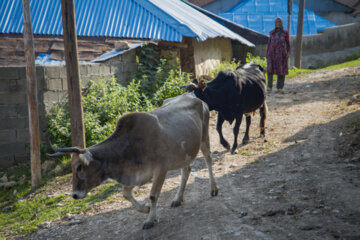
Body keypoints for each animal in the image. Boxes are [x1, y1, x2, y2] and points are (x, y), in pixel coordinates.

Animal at [48, 93, 218, 229]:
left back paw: (213, 189)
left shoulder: (160, 170)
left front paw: (150, 219)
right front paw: (146, 210)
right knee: (186, 170)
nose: (74, 195)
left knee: (209, 160)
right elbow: (125, 193)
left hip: (204, 138)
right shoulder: (139, 175)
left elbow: (153, 195)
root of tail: (194, 97)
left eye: (79, 167)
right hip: (184, 154)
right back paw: (178, 199)